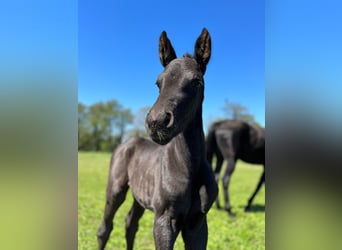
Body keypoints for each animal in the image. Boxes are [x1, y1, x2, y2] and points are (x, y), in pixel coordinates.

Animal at [97, 28, 218, 249]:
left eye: (196, 82)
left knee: (130, 223)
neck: (189, 167)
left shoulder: (198, 223)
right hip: (115, 190)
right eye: (158, 83)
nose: (157, 122)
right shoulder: (164, 220)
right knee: (105, 228)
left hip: (139, 197)